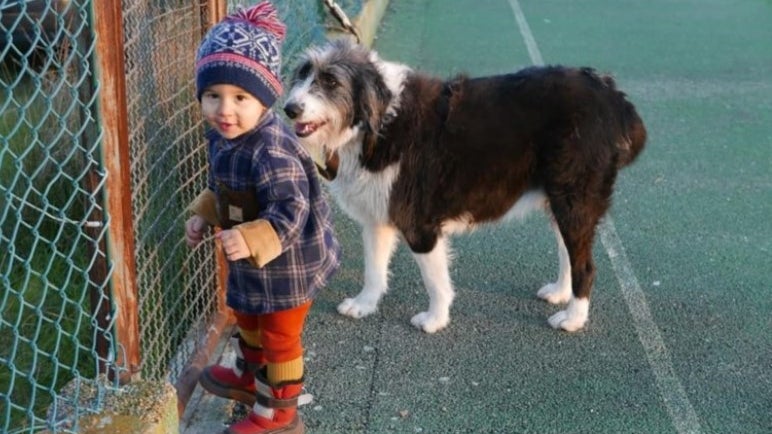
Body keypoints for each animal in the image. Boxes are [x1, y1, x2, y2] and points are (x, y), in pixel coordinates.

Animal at [282, 39, 644, 332]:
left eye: (330, 81)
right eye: (302, 74)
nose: (289, 108)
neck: (379, 121)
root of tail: (612, 96)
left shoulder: (420, 224)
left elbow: (435, 280)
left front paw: (435, 320)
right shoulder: (377, 219)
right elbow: (374, 269)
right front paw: (364, 305)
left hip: (575, 201)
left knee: (586, 265)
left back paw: (573, 318)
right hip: (560, 201)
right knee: (568, 252)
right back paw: (560, 293)